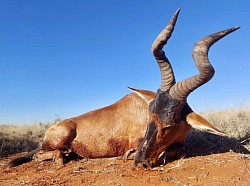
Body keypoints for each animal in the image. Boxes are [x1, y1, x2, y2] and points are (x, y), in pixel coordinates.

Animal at [7, 8, 238, 168]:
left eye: (169, 124)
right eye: (149, 117)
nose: (140, 162)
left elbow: (181, 148)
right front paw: (129, 154)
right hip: (57, 140)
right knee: (43, 155)